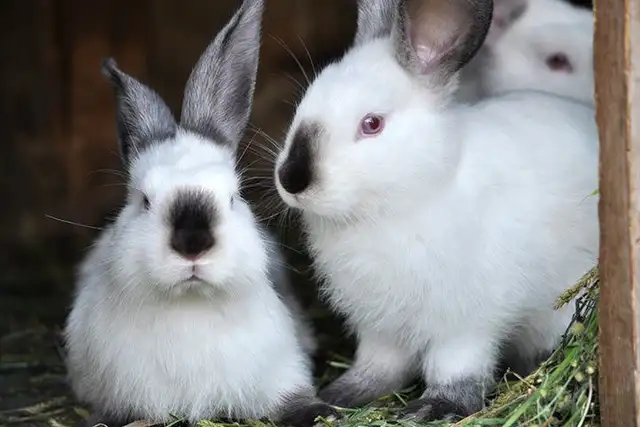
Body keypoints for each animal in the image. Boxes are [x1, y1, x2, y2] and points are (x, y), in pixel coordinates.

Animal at [63, 1, 338, 426]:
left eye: (234, 197)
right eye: (143, 200)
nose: (193, 243)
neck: (190, 307)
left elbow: (293, 401)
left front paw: (323, 412)